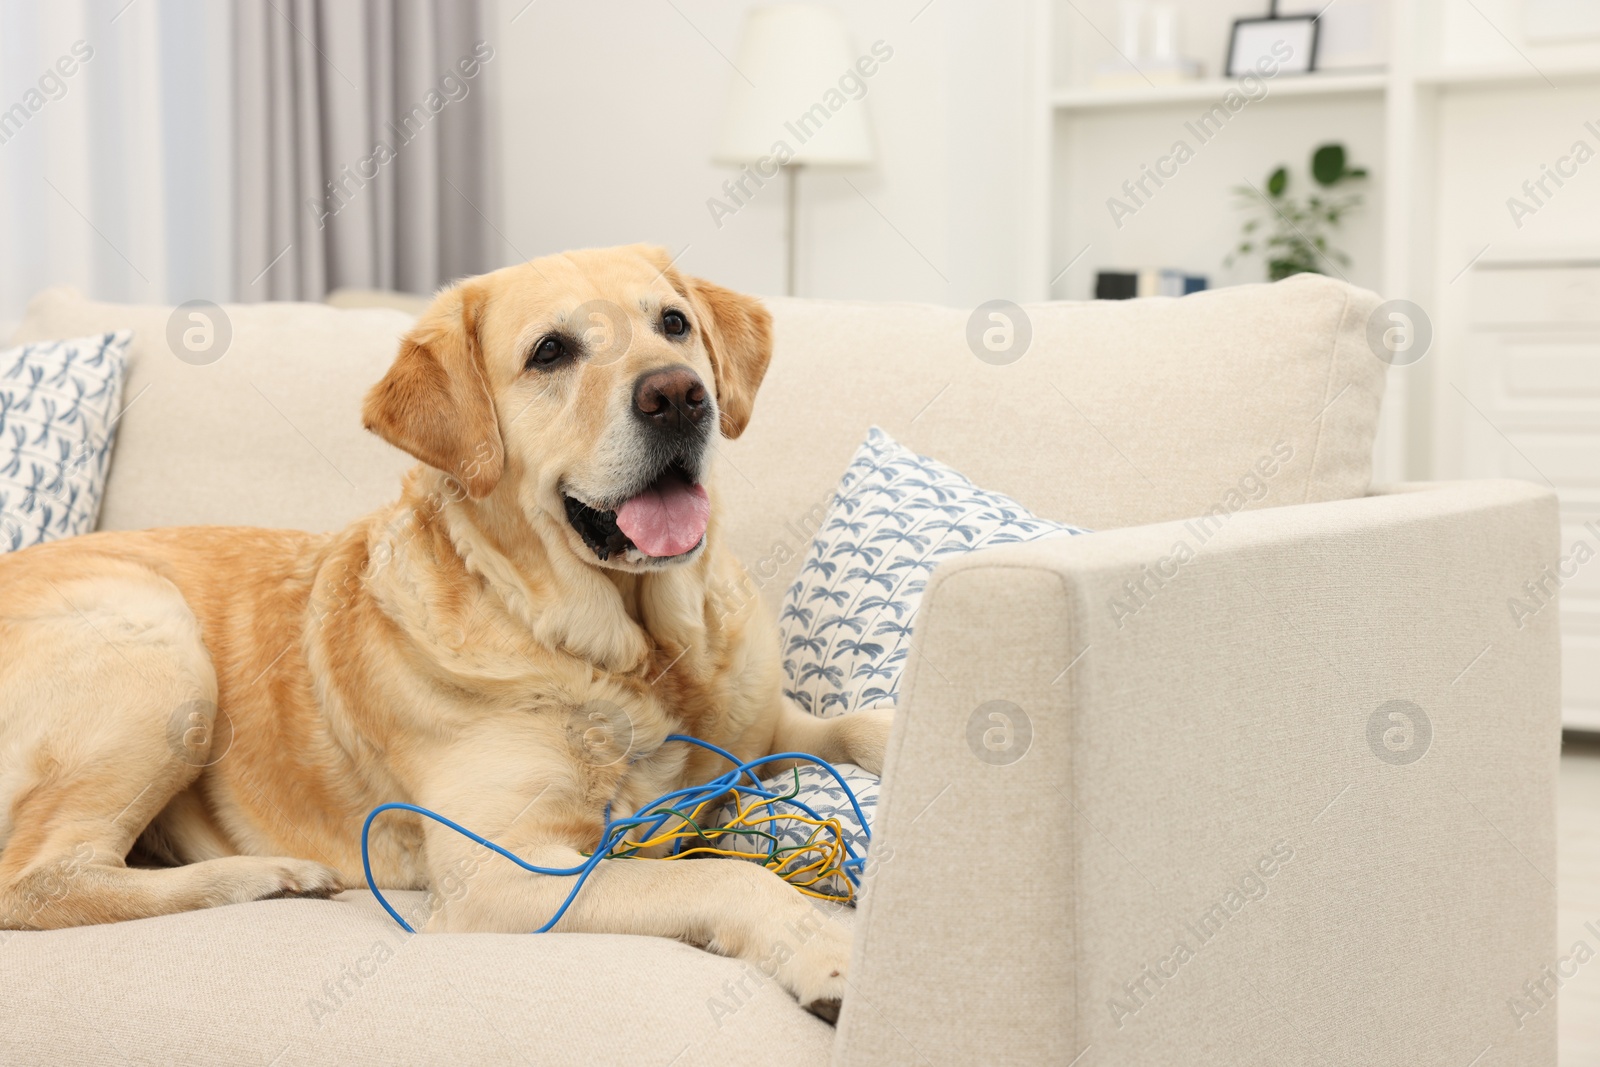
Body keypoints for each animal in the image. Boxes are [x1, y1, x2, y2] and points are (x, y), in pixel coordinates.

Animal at [0, 241, 889, 1017]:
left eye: (673, 323)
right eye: (551, 351)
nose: (678, 394)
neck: (635, 653)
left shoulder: (764, 726)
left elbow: (857, 724)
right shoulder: (504, 870)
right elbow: (721, 877)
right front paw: (827, 953)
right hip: (159, 645)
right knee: (38, 882)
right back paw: (268, 874)